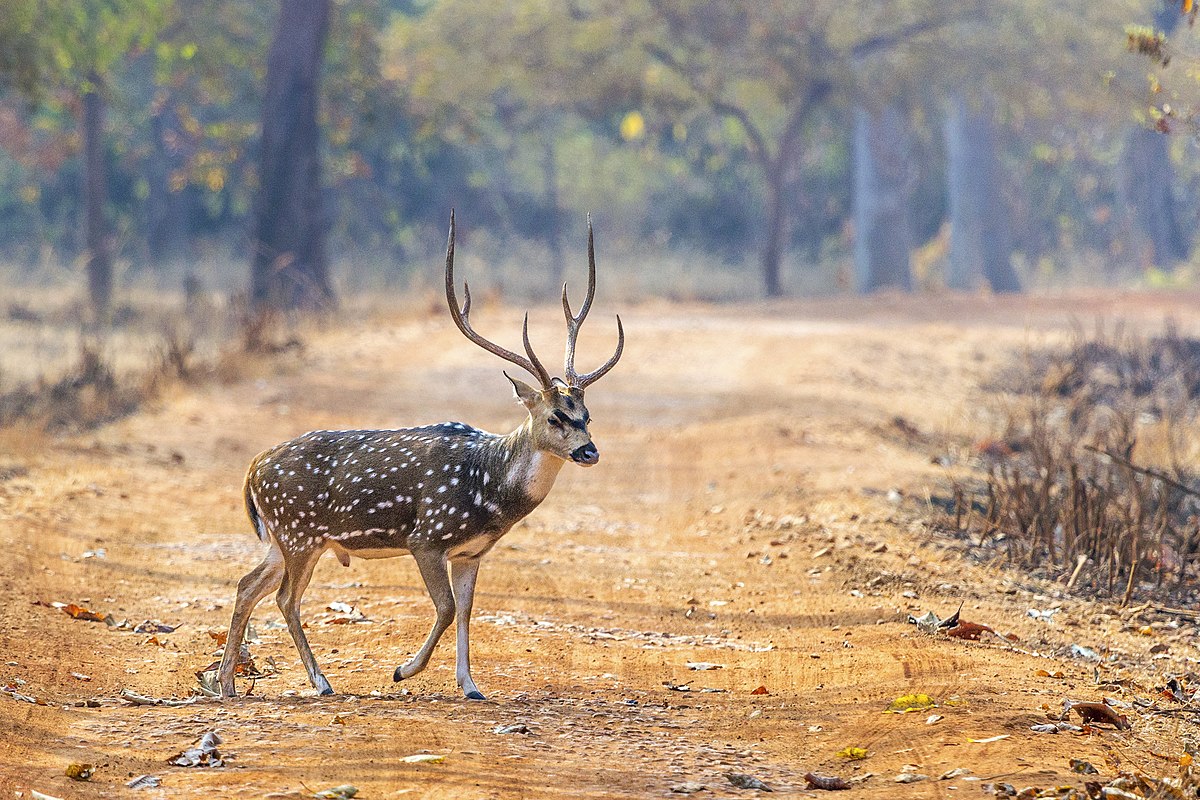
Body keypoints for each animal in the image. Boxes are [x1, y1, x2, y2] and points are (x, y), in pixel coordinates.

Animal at [217, 212, 623, 700]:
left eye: (587, 414)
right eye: (554, 417)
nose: (589, 451)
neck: (488, 490)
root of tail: (252, 468)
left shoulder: (471, 552)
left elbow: (466, 610)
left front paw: (470, 685)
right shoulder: (426, 536)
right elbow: (446, 608)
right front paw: (403, 670)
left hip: (281, 538)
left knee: (247, 585)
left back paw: (226, 684)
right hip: (300, 533)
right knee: (285, 598)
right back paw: (321, 681)